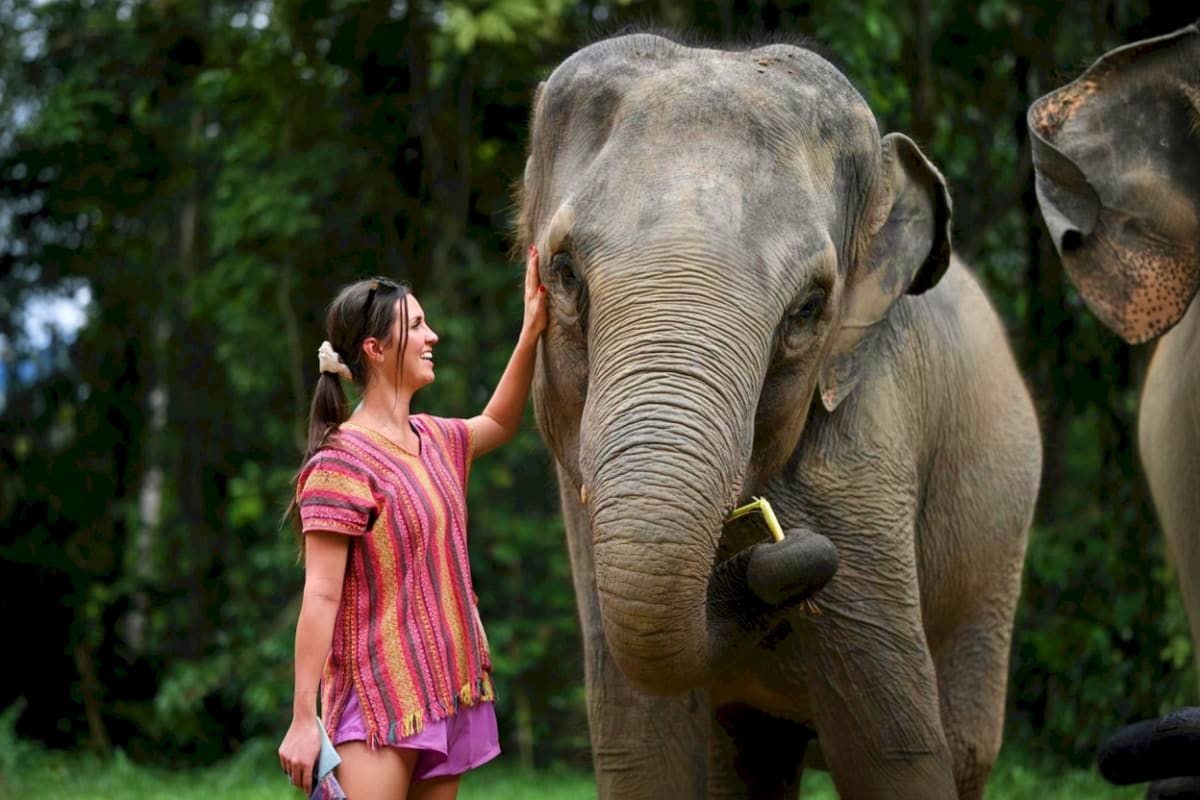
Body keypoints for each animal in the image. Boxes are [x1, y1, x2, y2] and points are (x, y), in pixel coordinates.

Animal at [521, 33, 1042, 800]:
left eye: (808, 308)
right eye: (562, 274)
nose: (778, 544)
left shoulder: (866, 465)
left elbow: (895, 753)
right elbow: (644, 751)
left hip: (995, 553)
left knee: (967, 744)